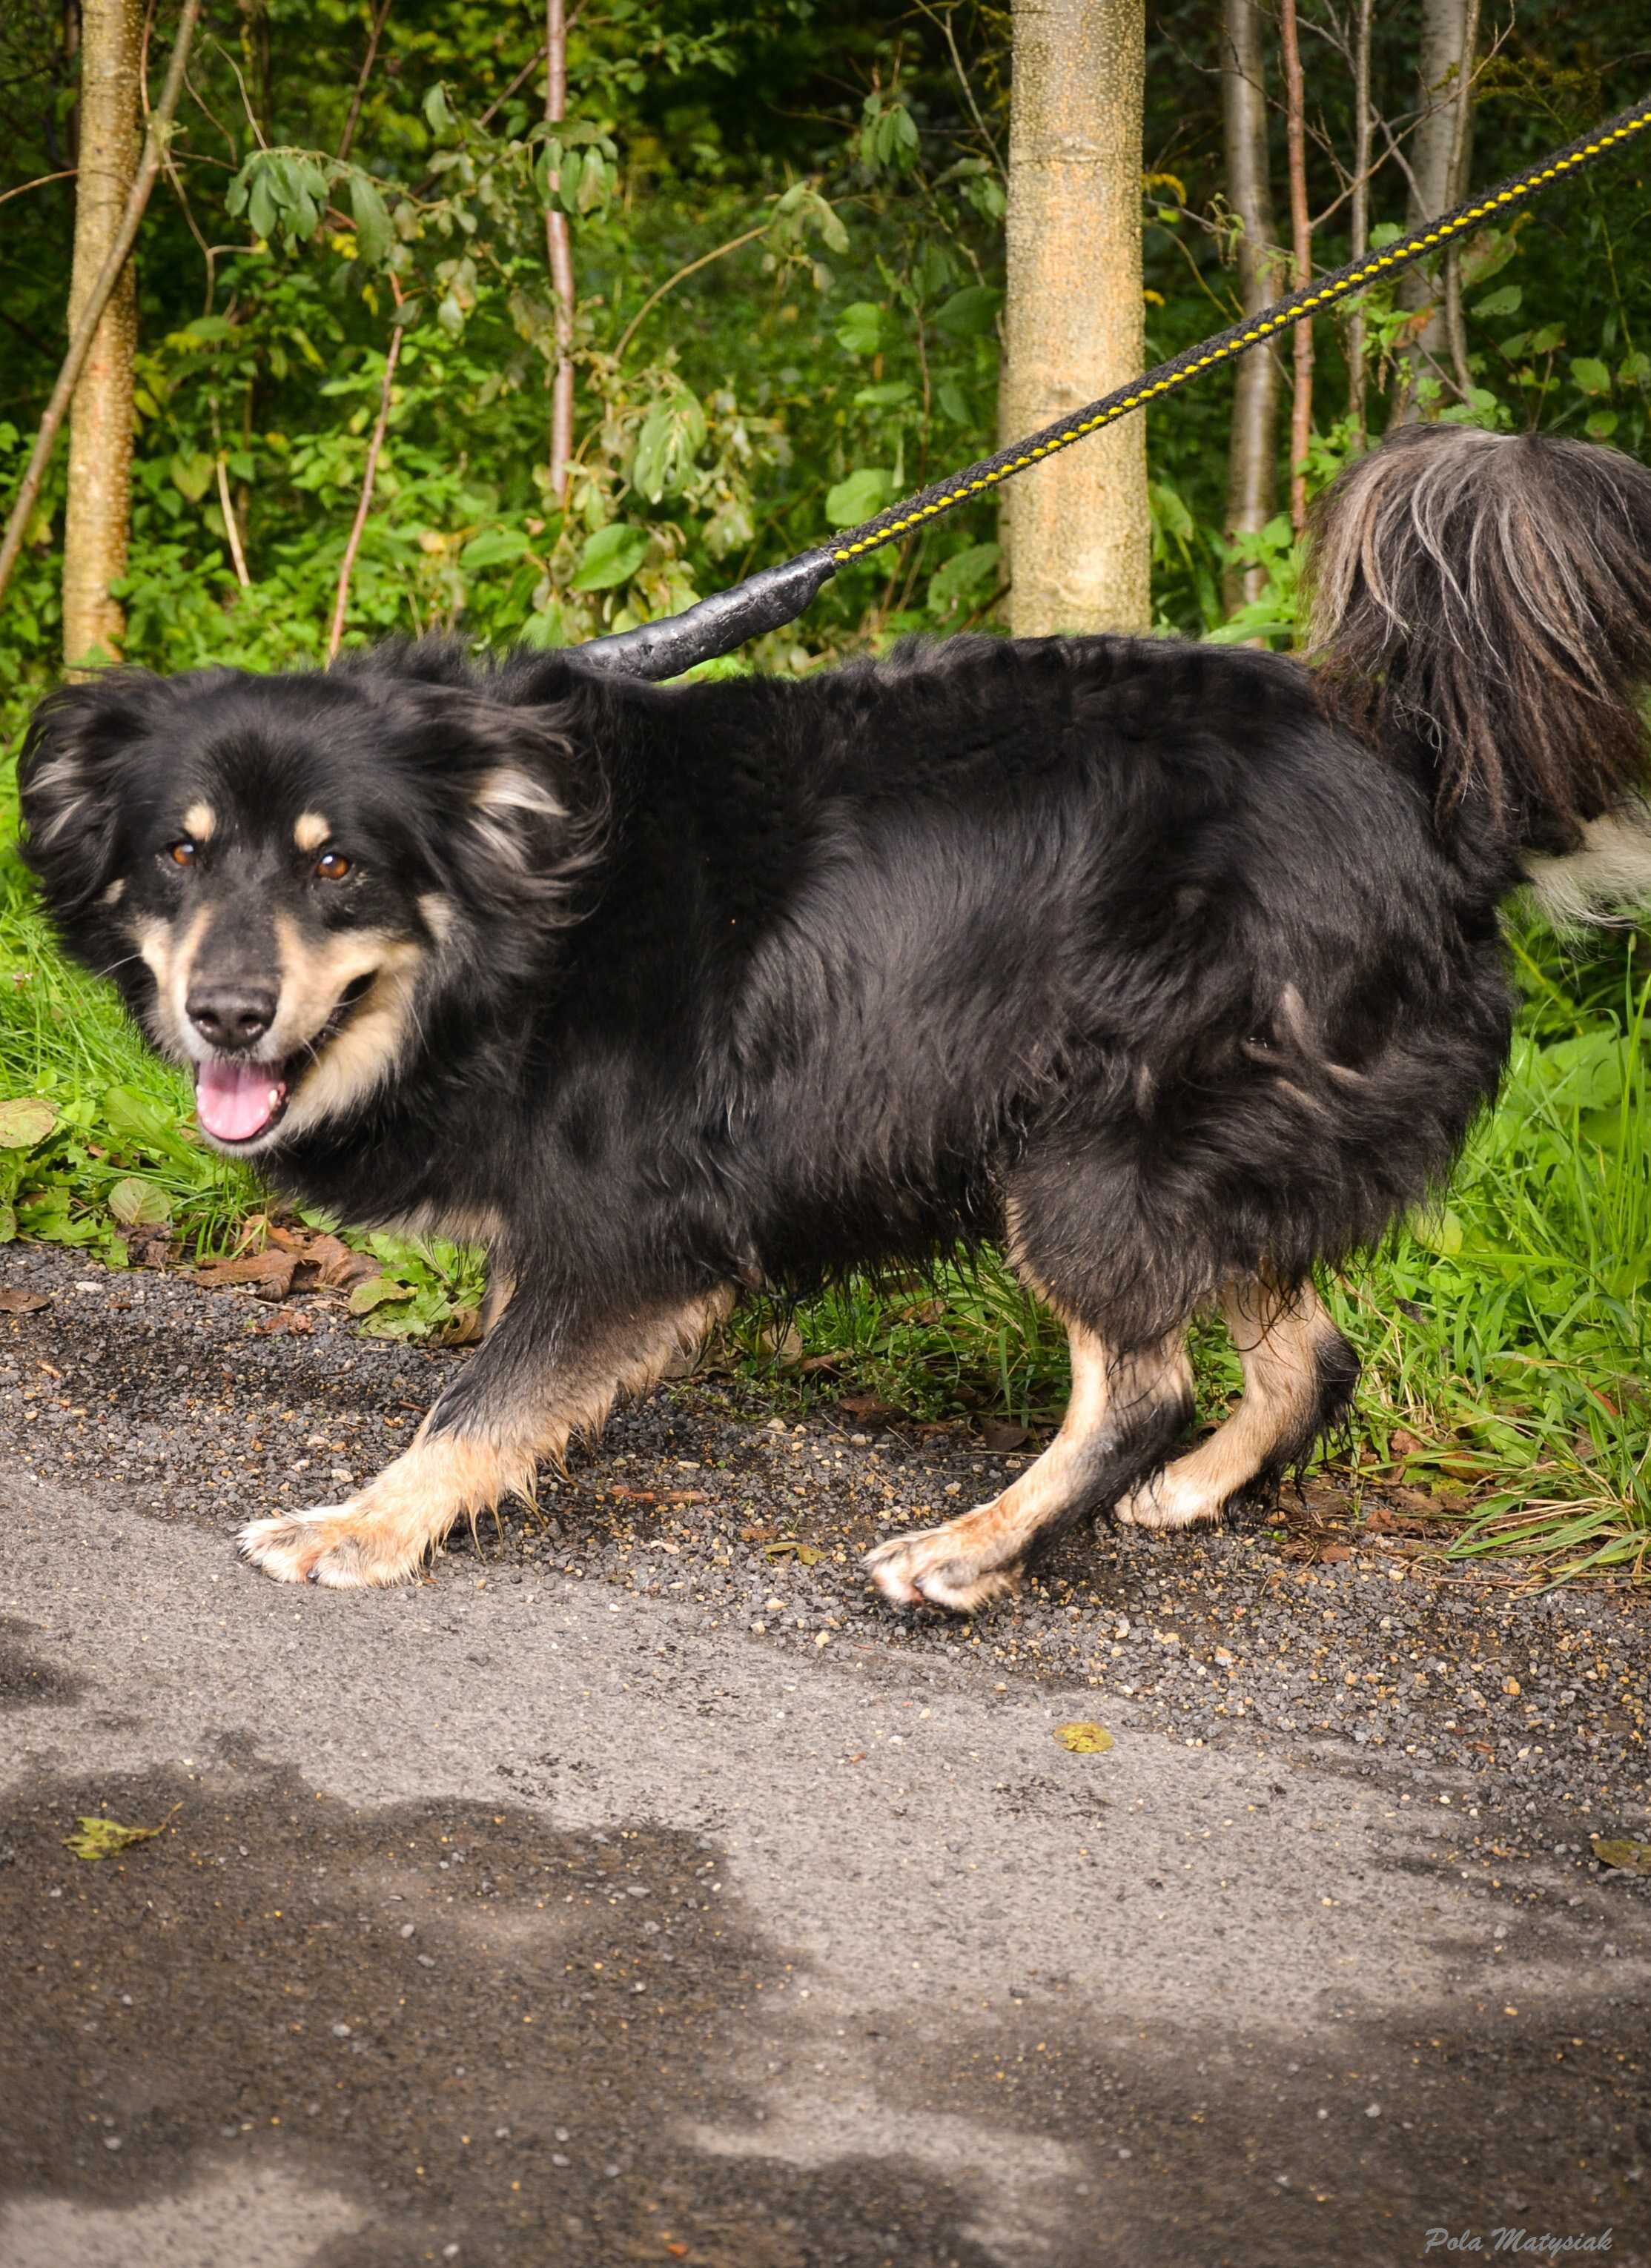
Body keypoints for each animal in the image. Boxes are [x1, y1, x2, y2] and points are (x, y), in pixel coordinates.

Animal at [16, 426, 1651, 1596]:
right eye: (180, 853)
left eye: (338, 864)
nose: (228, 1015)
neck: (523, 900)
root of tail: (1428, 817)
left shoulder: (632, 1220)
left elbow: (479, 1400)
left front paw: (368, 1526)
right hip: (1209, 1153)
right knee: (1307, 1350)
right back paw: (1183, 1491)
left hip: (1087, 1153)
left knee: (1142, 1382)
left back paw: (985, 1547)